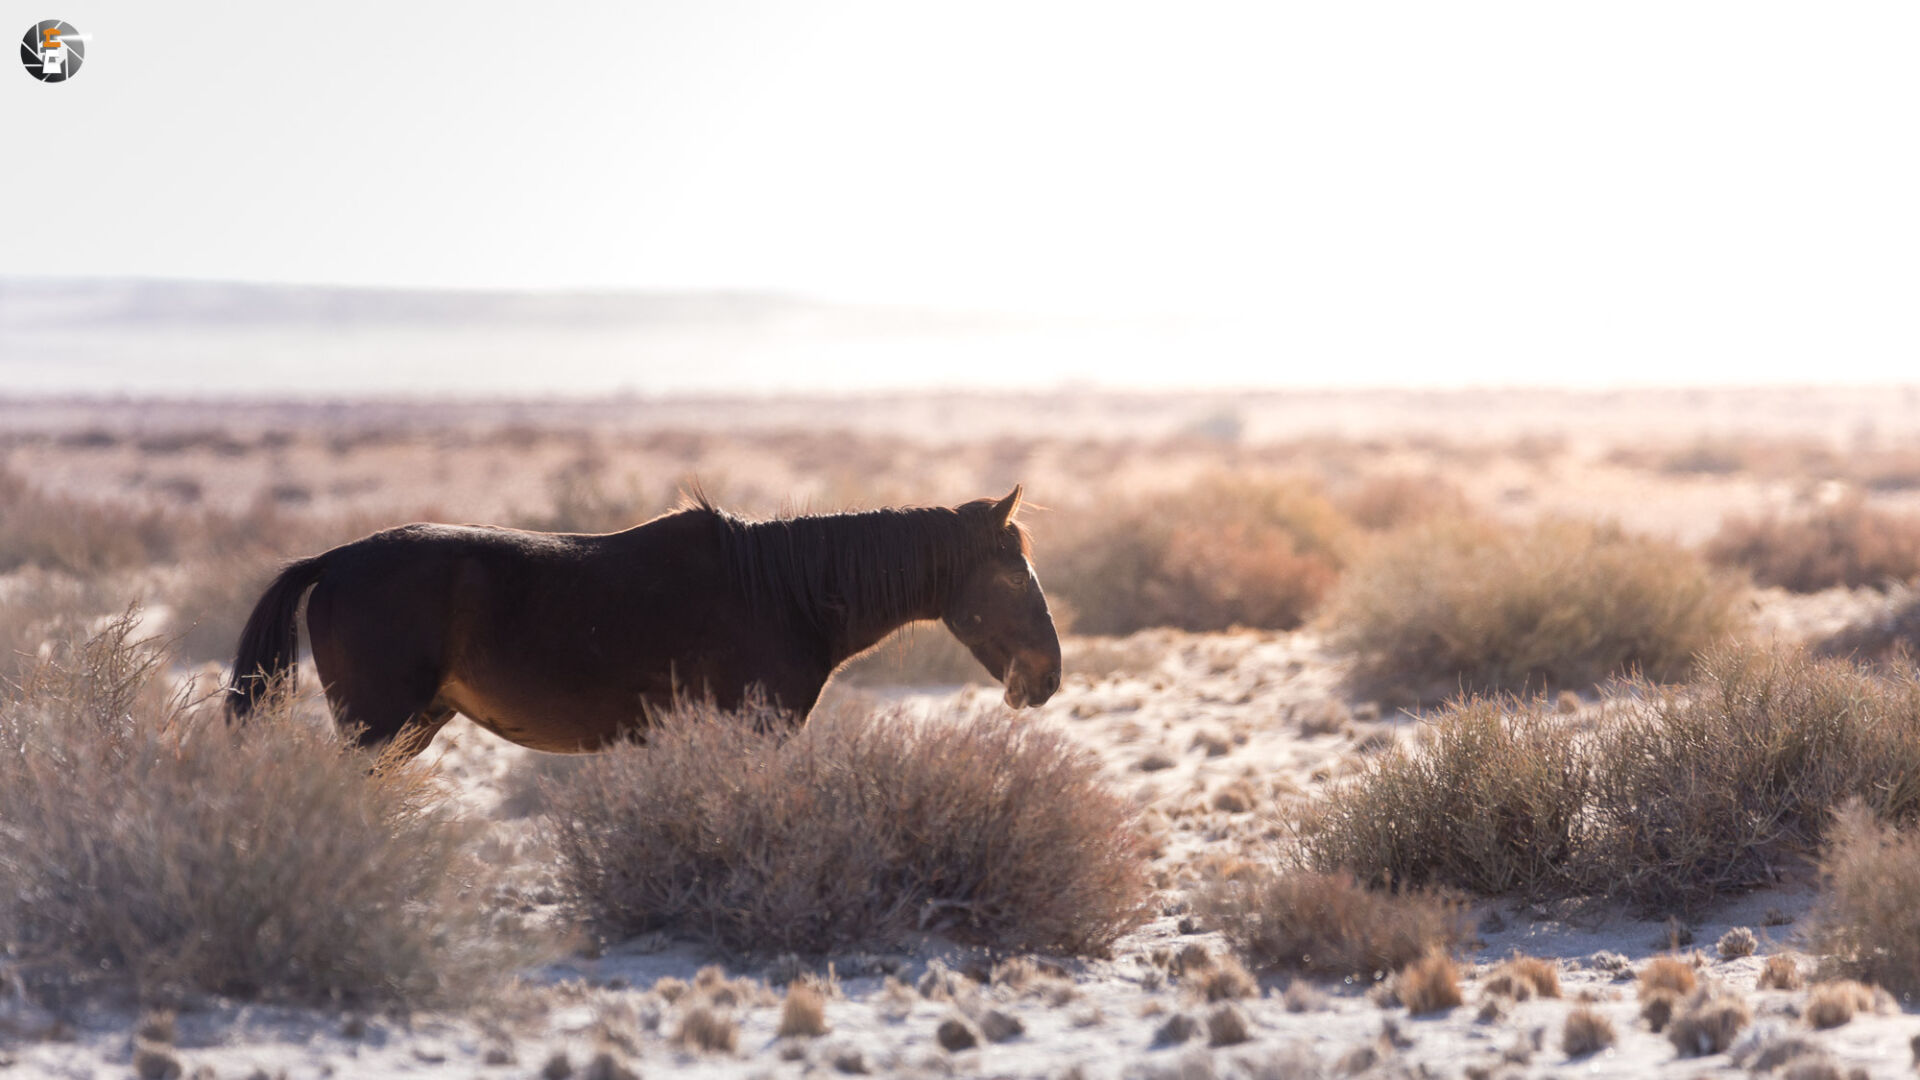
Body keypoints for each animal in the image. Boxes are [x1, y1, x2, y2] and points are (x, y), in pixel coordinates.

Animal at [225, 486, 1061, 762]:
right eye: (1014, 574)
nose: (1048, 676)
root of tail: (333, 561)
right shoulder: (757, 727)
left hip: (412, 724)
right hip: (378, 726)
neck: (782, 592)